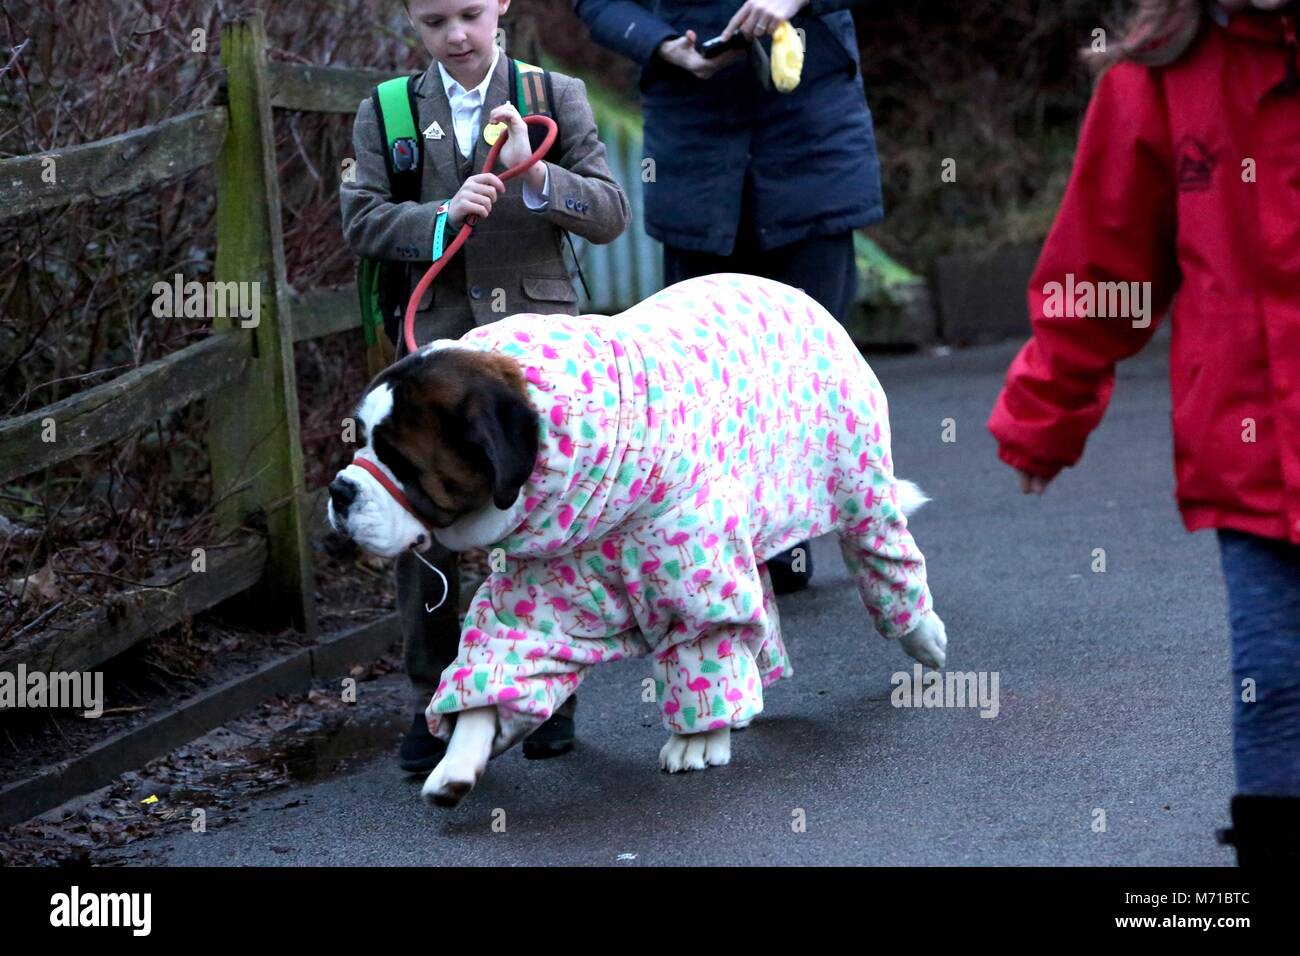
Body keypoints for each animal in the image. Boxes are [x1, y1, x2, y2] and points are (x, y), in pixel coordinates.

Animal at [330, 273, 951, 806]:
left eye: (402, 463)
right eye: (359, 440)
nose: (339, 489)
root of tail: (788, 289)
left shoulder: (695, 571)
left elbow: (705, 637)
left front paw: (697, 739)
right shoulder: (543, 589)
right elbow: (506, 655)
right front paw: (456, 763)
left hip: (858, 486)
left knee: (883, 555)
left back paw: (921, 636)